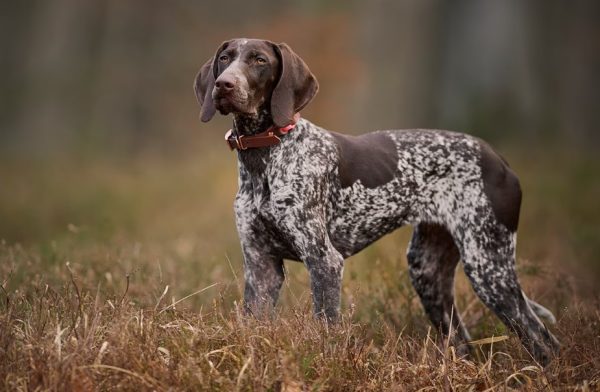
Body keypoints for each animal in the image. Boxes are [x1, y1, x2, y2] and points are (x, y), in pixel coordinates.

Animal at [195, 39, 560, 364]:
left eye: (259, 60)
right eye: (225, 58)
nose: (224, 84)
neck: (265, 157)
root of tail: (498, 158)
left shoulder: (324, 261)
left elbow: (325, 330)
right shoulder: (262, 267)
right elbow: (253, 326)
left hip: (488, 266)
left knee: (542, 340)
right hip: (428, 271)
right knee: (464, 342)